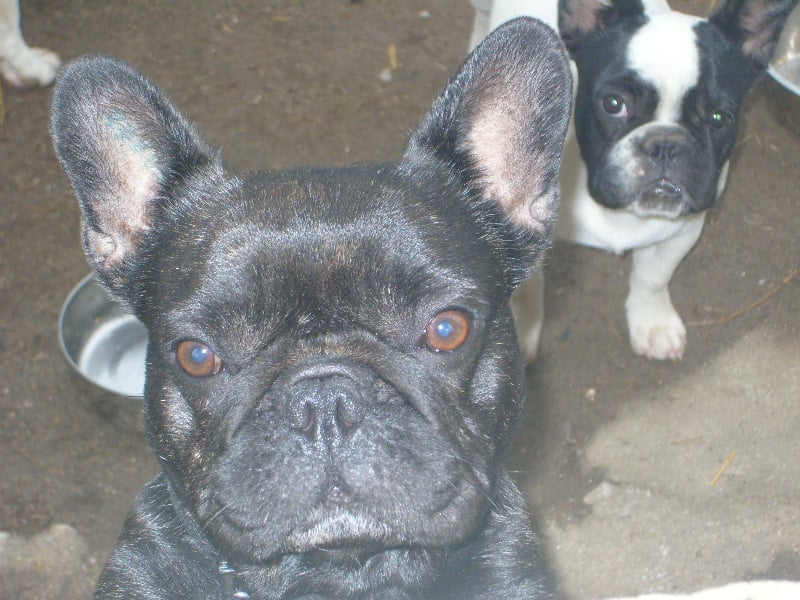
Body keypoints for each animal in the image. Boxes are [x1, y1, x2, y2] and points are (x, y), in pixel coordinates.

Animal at [471, 0, 797, 361]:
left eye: (719, 118)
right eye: (614, 104)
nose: (665, 143)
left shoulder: (681, 229)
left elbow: (653, 278)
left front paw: (653, 323)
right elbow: (527, 290)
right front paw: (524, 331)